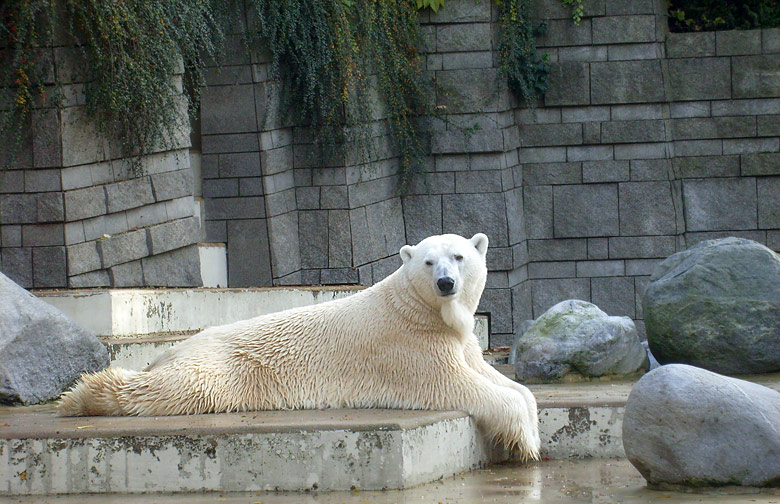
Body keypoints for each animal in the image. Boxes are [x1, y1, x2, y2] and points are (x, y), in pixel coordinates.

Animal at [58, 234, 540, 458]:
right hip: (224, 367)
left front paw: (530, 421)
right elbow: (461, 386)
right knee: (182, 388)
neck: (420, 311)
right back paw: (80, 396)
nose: (445, 283)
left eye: (459, 256)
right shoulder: (412, 347)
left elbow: (509, 385)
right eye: (427, 261)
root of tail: (170, 349)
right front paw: (526, 445)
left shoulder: (458, 343)